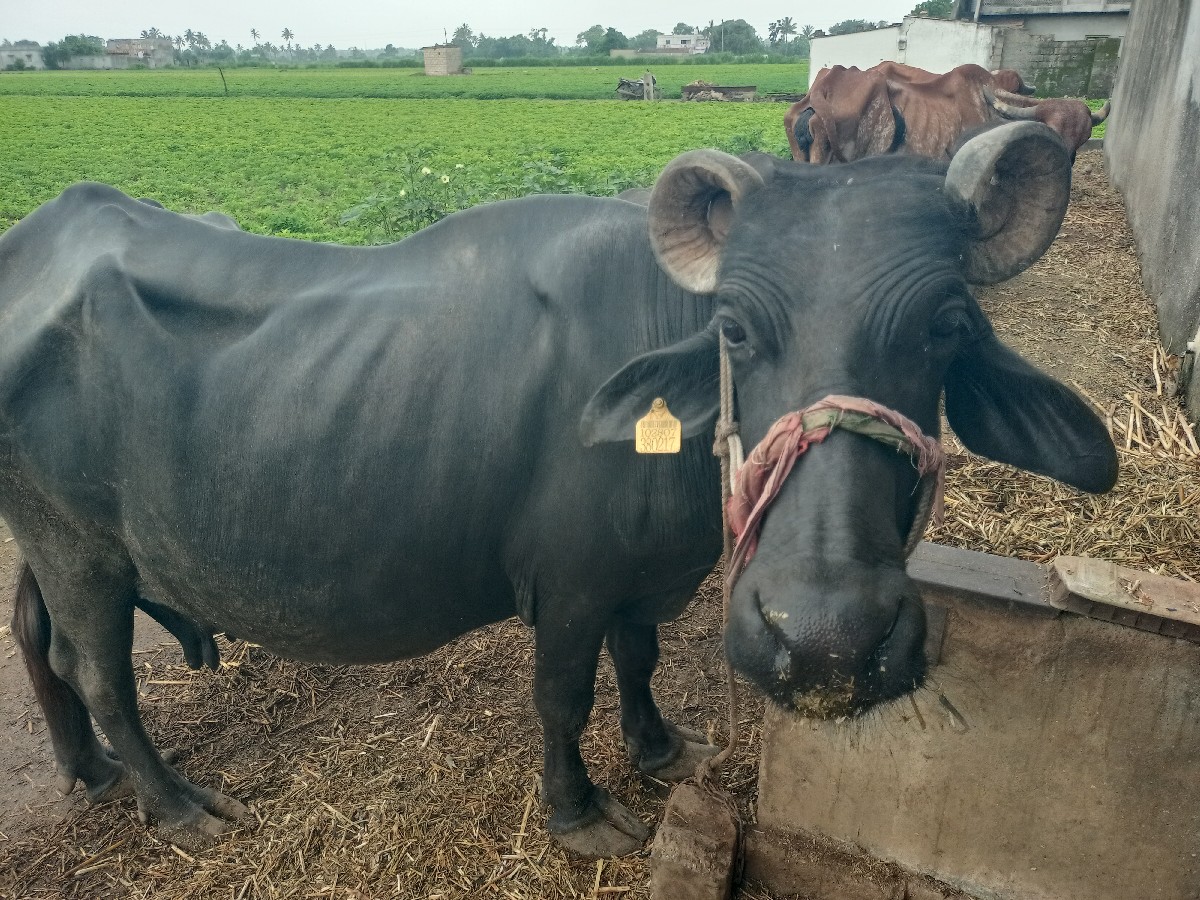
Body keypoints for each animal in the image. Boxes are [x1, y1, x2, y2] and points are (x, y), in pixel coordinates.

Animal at [3, 122, 1117, 858]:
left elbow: (641, 658)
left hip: (46, 543)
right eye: (736, 329)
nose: (826, 643)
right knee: (101, 670)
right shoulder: (571, 587)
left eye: (947, 326)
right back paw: (172, 803)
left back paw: (88, 771)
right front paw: (579, 811)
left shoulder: (639, 581)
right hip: (81, 550)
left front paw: (659, 747)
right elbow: (563, 694)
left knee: (37, 638)